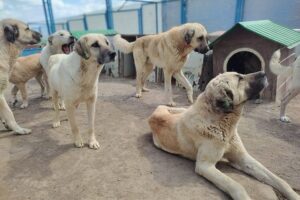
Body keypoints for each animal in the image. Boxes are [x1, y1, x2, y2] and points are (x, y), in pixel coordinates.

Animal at [148, 72, 300, 200]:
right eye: (239, 78)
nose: (264, 72)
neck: (223, 123)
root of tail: (154, 114)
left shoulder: (242, 157)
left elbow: (279, 180)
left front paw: (294, 195)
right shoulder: (205, 166)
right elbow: (236, 186)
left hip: (181, 109)